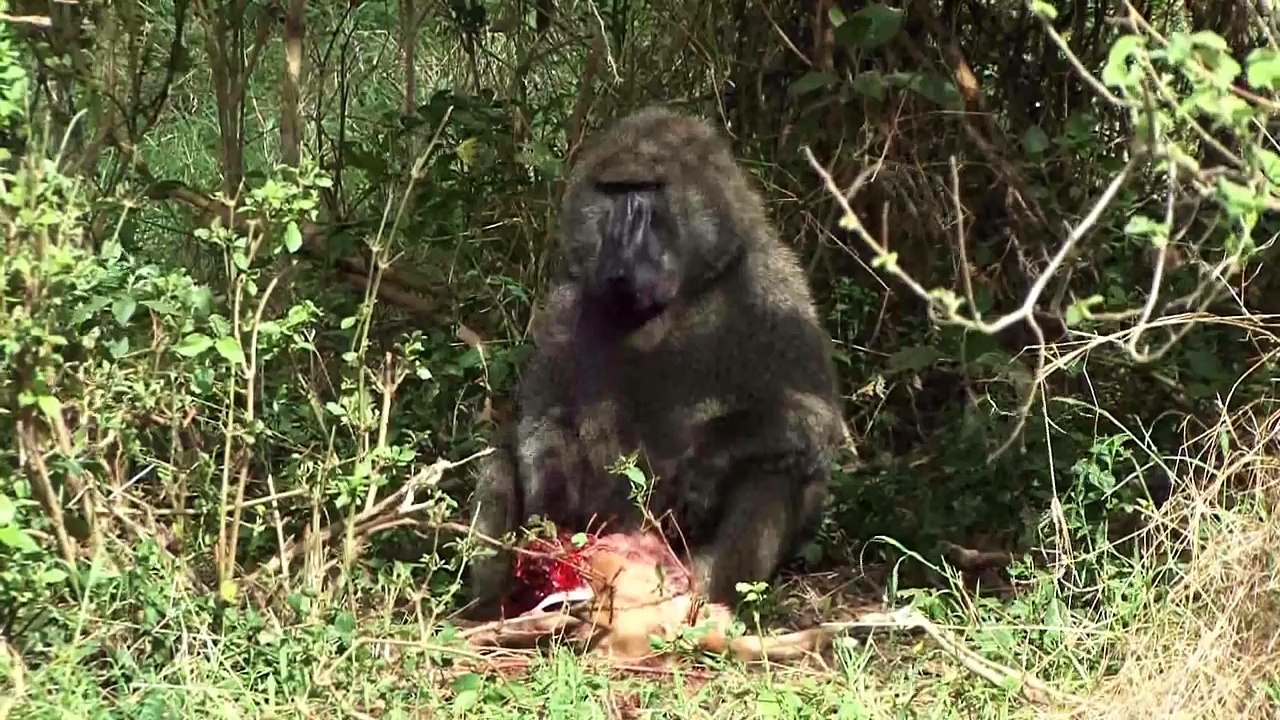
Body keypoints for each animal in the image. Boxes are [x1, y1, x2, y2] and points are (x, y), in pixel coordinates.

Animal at [465, 106, 846, 618]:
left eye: (648, 191)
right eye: (616, 192)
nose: (625, 245)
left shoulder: (774, 285)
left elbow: (814, 420)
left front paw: (708, 460)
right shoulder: (564, 299)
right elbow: (544, 422)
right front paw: (547, 517)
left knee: (773, 466)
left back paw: (710, 602)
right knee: (498, 459)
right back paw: (492, 610)